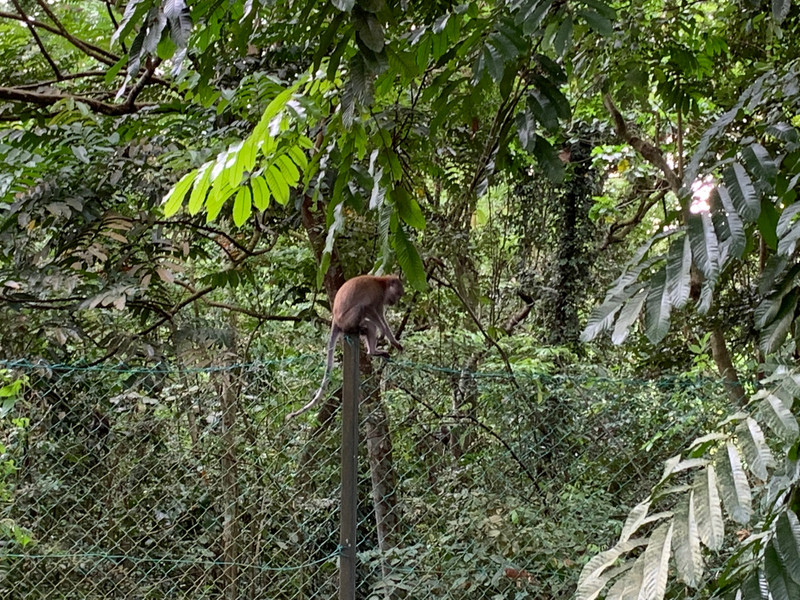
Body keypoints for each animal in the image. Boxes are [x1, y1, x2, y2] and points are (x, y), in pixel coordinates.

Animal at [284, 274, 404, 420]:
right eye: (398, 294)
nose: (396, 302)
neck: (382, 283)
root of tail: (335, 319)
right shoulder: (378, 295)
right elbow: (370, 309)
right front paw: (382, 330)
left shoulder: (381, 300)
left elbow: (381, 319)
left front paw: (394, 342)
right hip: (346, 320)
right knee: (362, 308)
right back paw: (356, 330)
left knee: (369, 325)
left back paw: (372, 351)